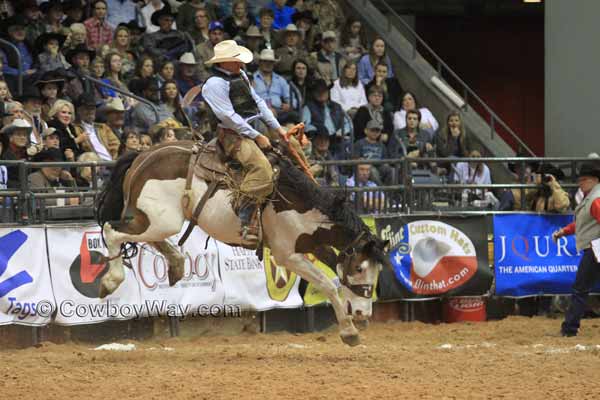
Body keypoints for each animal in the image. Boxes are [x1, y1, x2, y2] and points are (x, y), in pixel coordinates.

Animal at [95, 129, 390, 346]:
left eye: (378, 271)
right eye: (360, 268)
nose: (364, 314)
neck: (298, 202)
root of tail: (143, 156)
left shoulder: (313, 243)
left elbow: (333, 271)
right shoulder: (287, 255)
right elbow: (327, 284)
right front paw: (349, 332)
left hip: (157, 221)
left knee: (142, 236)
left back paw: (177, 263)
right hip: (161, 220)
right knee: (112, 230)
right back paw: (111, 281)